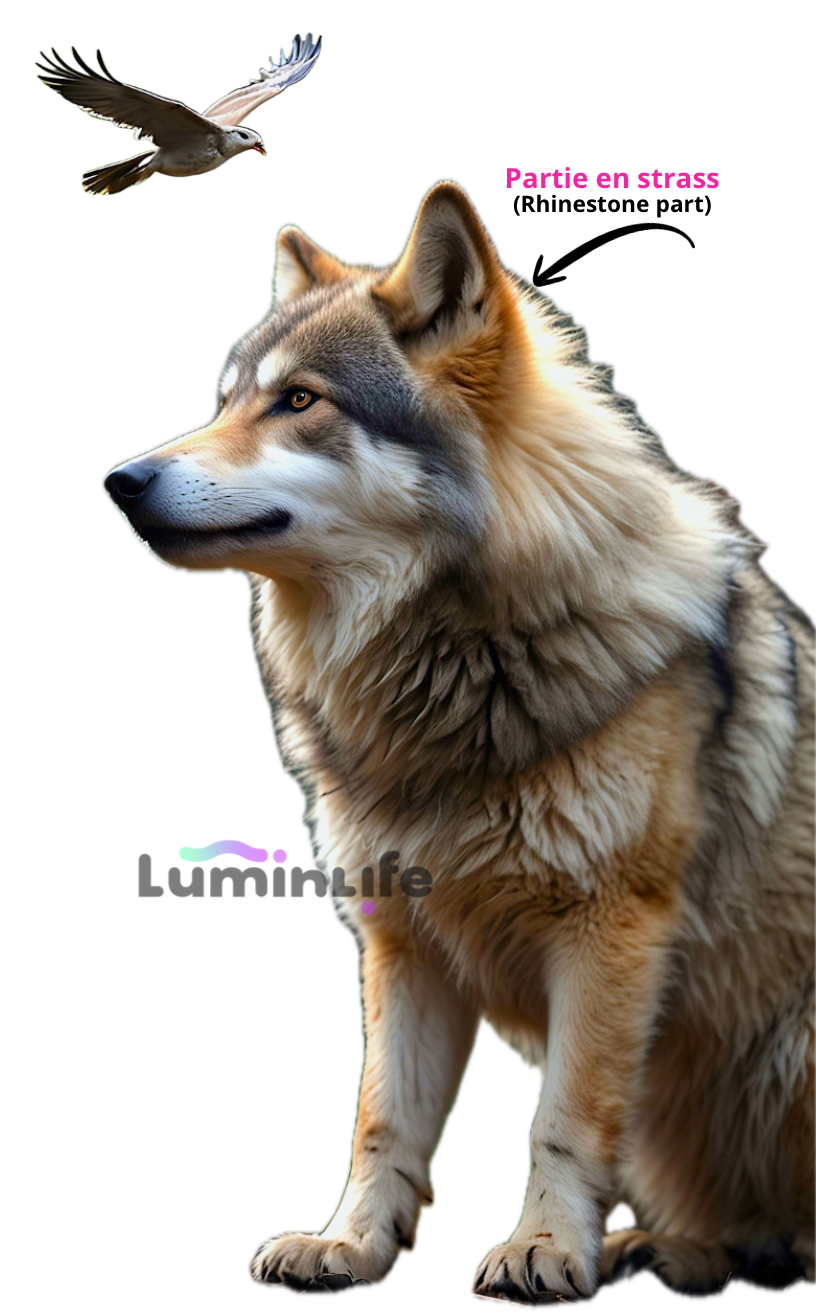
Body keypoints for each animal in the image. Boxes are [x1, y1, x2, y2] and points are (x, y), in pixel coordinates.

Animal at [105, 183, 814, 1300]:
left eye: (299, 401)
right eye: (223, 402)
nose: (120, 479)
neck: (457, 671)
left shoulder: (612, 931)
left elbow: (563, 1119)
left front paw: (542, 1248)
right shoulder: (400, 940)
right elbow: (379, 1119)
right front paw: (347, 1245)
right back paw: (670, 1250)